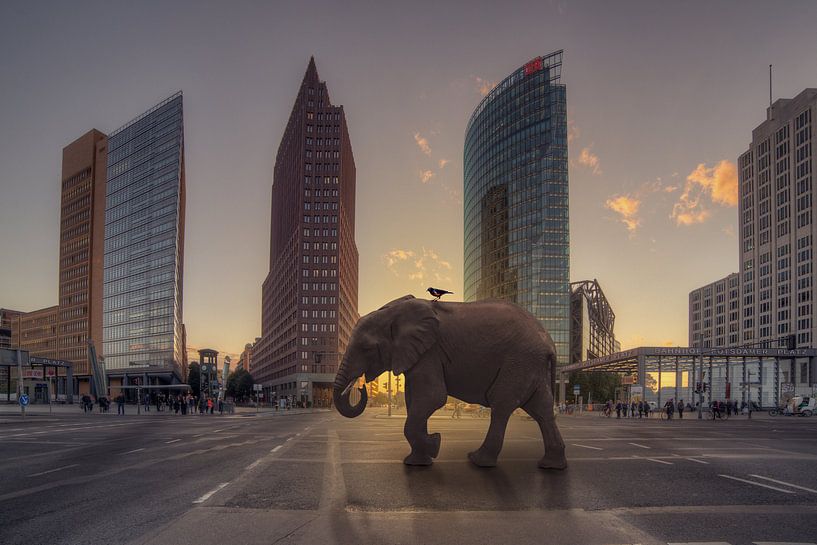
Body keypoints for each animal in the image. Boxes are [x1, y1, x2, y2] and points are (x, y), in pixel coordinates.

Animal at [328, 294, 564, 468]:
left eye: (366, 348)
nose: (361, 386)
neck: (394, 311)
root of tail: (549, 343)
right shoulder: (420, 355)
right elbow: (414, 401)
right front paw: (419, 460)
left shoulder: (430, 352)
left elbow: (432, 397)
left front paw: (434, 445)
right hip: (530, 366)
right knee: (541, 409)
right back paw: (551, 465)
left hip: (519, 361)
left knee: (502, 404)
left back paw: (478, 461)